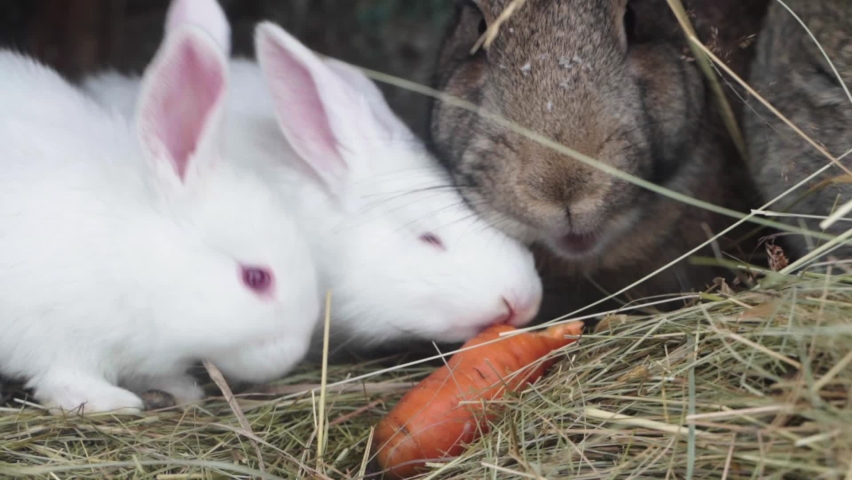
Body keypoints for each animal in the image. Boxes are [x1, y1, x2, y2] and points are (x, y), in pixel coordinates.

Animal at [0, 0, 320, 414]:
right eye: (256, 278)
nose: (294, 352)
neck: (134, 258)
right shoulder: (57, 342)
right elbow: (65, 380)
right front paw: (114, 401)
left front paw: (179, 389)